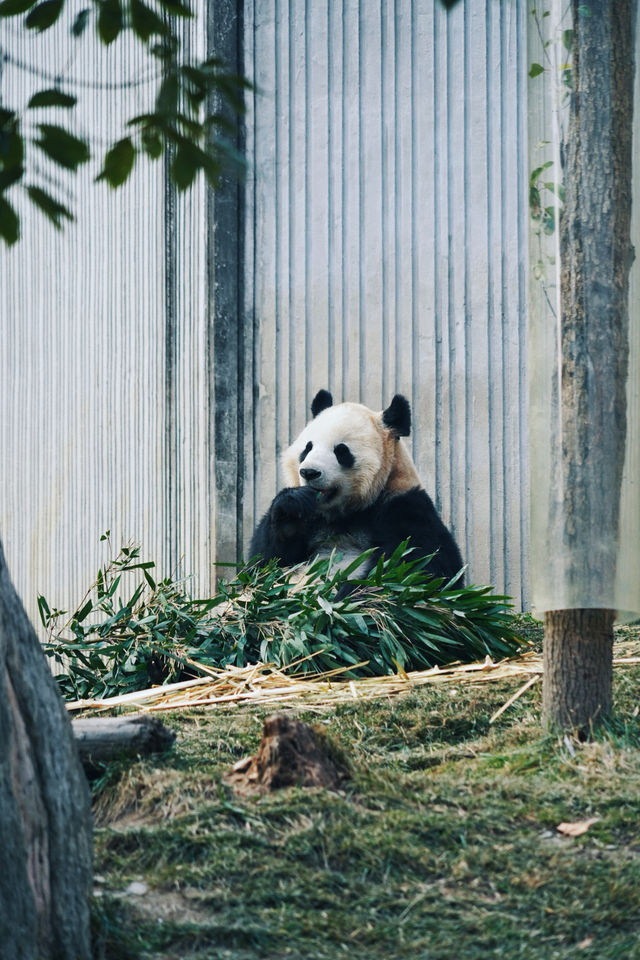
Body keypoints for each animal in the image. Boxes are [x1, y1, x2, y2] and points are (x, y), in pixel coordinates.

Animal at [250, 390, 464, 584]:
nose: (309, 472)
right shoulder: (314, 520)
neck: (343, 514)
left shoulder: (404, 506)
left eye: (341, 451)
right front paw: (292, 510)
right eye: (307, 448)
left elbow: (419, 567)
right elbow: (264, 562)